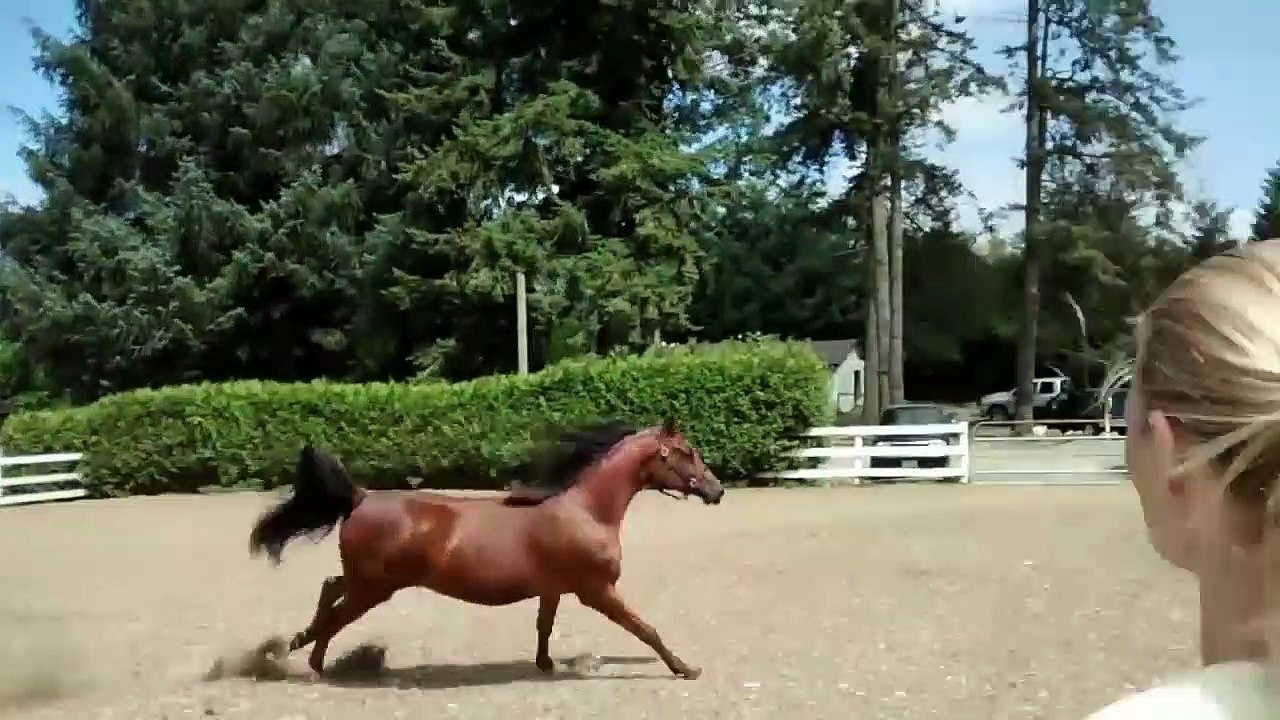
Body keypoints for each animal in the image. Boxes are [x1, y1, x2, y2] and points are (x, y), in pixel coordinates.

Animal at [246, 417, 725, 680]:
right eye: (686, 451)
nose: (717, 490)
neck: (587, 510)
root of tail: (360, 497)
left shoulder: (554, 588)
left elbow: (543, 626)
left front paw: (545, 664)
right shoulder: (596, 591)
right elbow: (646, 629)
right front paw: (686, 668)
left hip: (368, 581)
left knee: (330, 589)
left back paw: (295, 647)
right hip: (374, 588)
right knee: (335, 614)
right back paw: (306, 660)